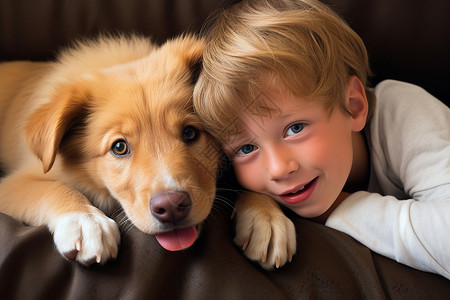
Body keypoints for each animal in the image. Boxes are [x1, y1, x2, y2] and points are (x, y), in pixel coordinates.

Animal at [0, 35, 220, 264]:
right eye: (119, 147)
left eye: (190, 133)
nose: (171, 207)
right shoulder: (12, 183)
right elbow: (53, 188)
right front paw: (86, 221)